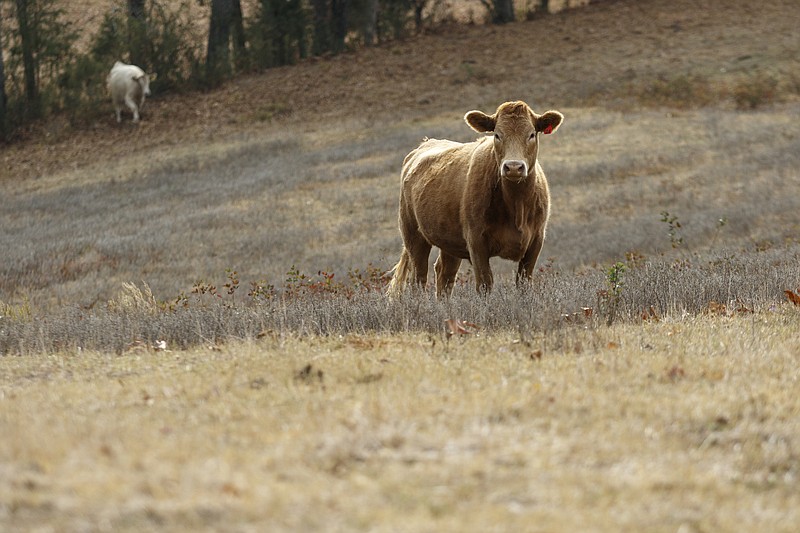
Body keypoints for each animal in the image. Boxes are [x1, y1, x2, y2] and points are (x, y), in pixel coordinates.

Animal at [388, 102, 564, 298]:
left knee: (444, 274)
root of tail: (424, 145)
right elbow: (485, 284)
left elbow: (524, 283)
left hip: (450, 241)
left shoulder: (536, 241)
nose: (513, 167)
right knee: (418, 278)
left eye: (532, 134)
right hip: (413, 234)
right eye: (497, 134)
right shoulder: (476, 241)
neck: (516, 205)